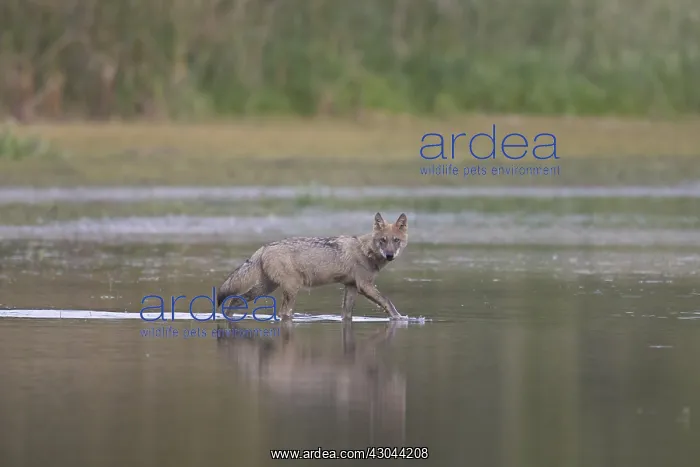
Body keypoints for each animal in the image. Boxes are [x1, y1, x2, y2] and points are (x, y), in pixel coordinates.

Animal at [216, 212, 408, 320]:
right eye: (383, 240)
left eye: (395, 241)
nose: (390, 255)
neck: (365, 250)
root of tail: (265, 247)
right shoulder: (365, 286)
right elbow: (388, 302)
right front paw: (401, 318)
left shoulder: (352, 287)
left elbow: (346, 315)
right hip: (291, 289)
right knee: (283, 313)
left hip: (265, 289)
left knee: (235, 300)